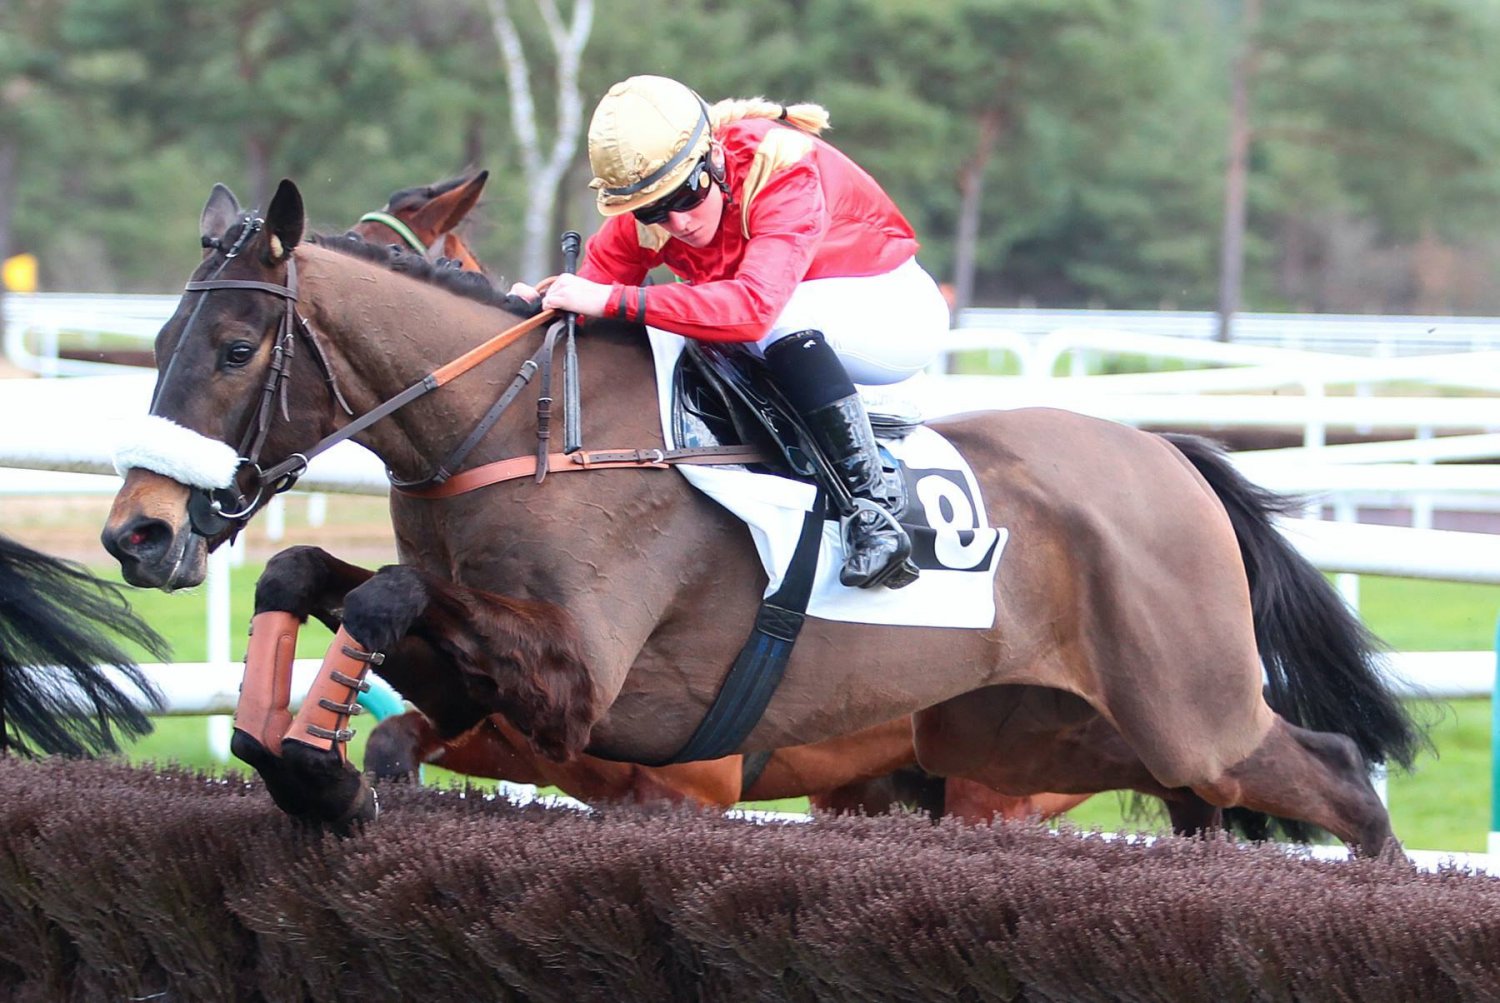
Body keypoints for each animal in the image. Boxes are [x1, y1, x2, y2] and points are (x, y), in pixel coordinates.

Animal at [101, 179, 1420, 853]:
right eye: (156, 341)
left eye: (233, 348)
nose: (137, 532)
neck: (527, 427)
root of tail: (1172, 458)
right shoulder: (502, 694)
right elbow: (314, 581)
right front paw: (302, 762)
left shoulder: (589, 687)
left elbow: (389, 588)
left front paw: (313, 767)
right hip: (1029, 734)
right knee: (1225, 804)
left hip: (1191, 711)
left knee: (1342, 777)